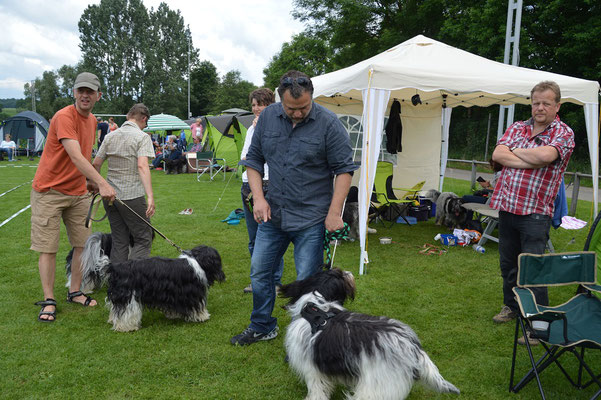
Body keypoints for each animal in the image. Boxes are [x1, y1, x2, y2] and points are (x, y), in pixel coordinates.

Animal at [278, 268, 458, 400]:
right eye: (339, 272)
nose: (350, 272)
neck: (317, 308)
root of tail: (412, 345)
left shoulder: (312, 369)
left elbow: (317, 390)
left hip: (377, 386)